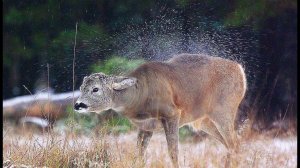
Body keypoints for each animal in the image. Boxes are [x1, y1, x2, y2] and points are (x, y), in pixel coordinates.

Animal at [74, 53, 246, 168]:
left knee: (234, 142)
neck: (139, 97)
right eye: (81, 88)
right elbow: (139, 153)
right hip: (203, 121)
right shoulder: (146, 126)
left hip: (224, 109)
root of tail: (240, 70)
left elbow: (173, 152)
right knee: (231, 144)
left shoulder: (172, 113)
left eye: (95, 89)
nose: (78, 105)